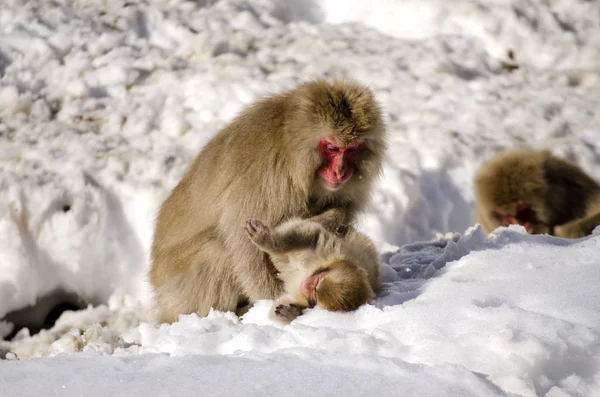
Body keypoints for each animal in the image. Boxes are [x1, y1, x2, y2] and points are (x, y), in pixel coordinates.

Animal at [244, 218, 380, 324]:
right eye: (318, 280)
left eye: (314, 295)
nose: (307, 285)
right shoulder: (332, 250)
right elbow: (314, 236)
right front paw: (266, 240)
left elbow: (278, 308)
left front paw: (292, 312)